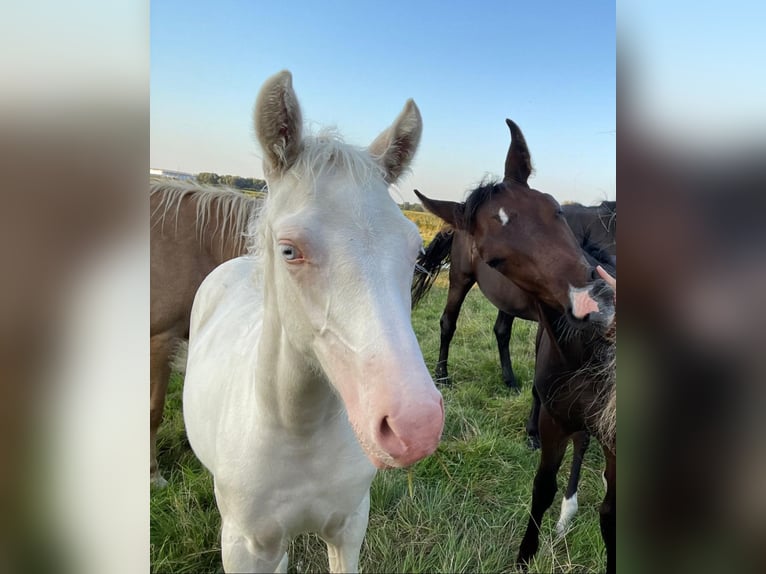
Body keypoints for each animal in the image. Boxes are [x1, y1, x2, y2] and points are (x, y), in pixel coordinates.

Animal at [184, 73, 444, 574]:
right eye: (289, 250)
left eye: (416, 250)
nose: (416, 427)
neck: (298, 430)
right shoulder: (243, 546)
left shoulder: (349, 527)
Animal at [414, 119, 616, 572]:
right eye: (496, 259)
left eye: (555, 209)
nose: (594, 302)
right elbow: (545, 484)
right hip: (460, 279)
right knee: (448, 322)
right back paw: (443, 375)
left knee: (501, 331)